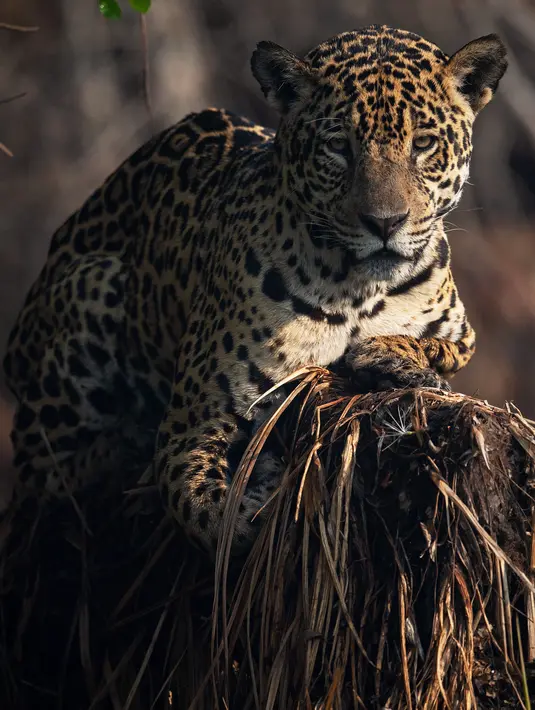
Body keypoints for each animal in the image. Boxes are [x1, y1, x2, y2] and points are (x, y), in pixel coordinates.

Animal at [3, 25, 507, 552]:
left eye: (423, 143)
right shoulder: (191, 427)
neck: (359, 288)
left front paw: (389, 357)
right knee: (47, 481)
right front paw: (266, 512)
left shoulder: (462, 333)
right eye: (338, 146)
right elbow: (216, 515)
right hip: (91, 286)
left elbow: (434, 347)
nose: (385, 223)